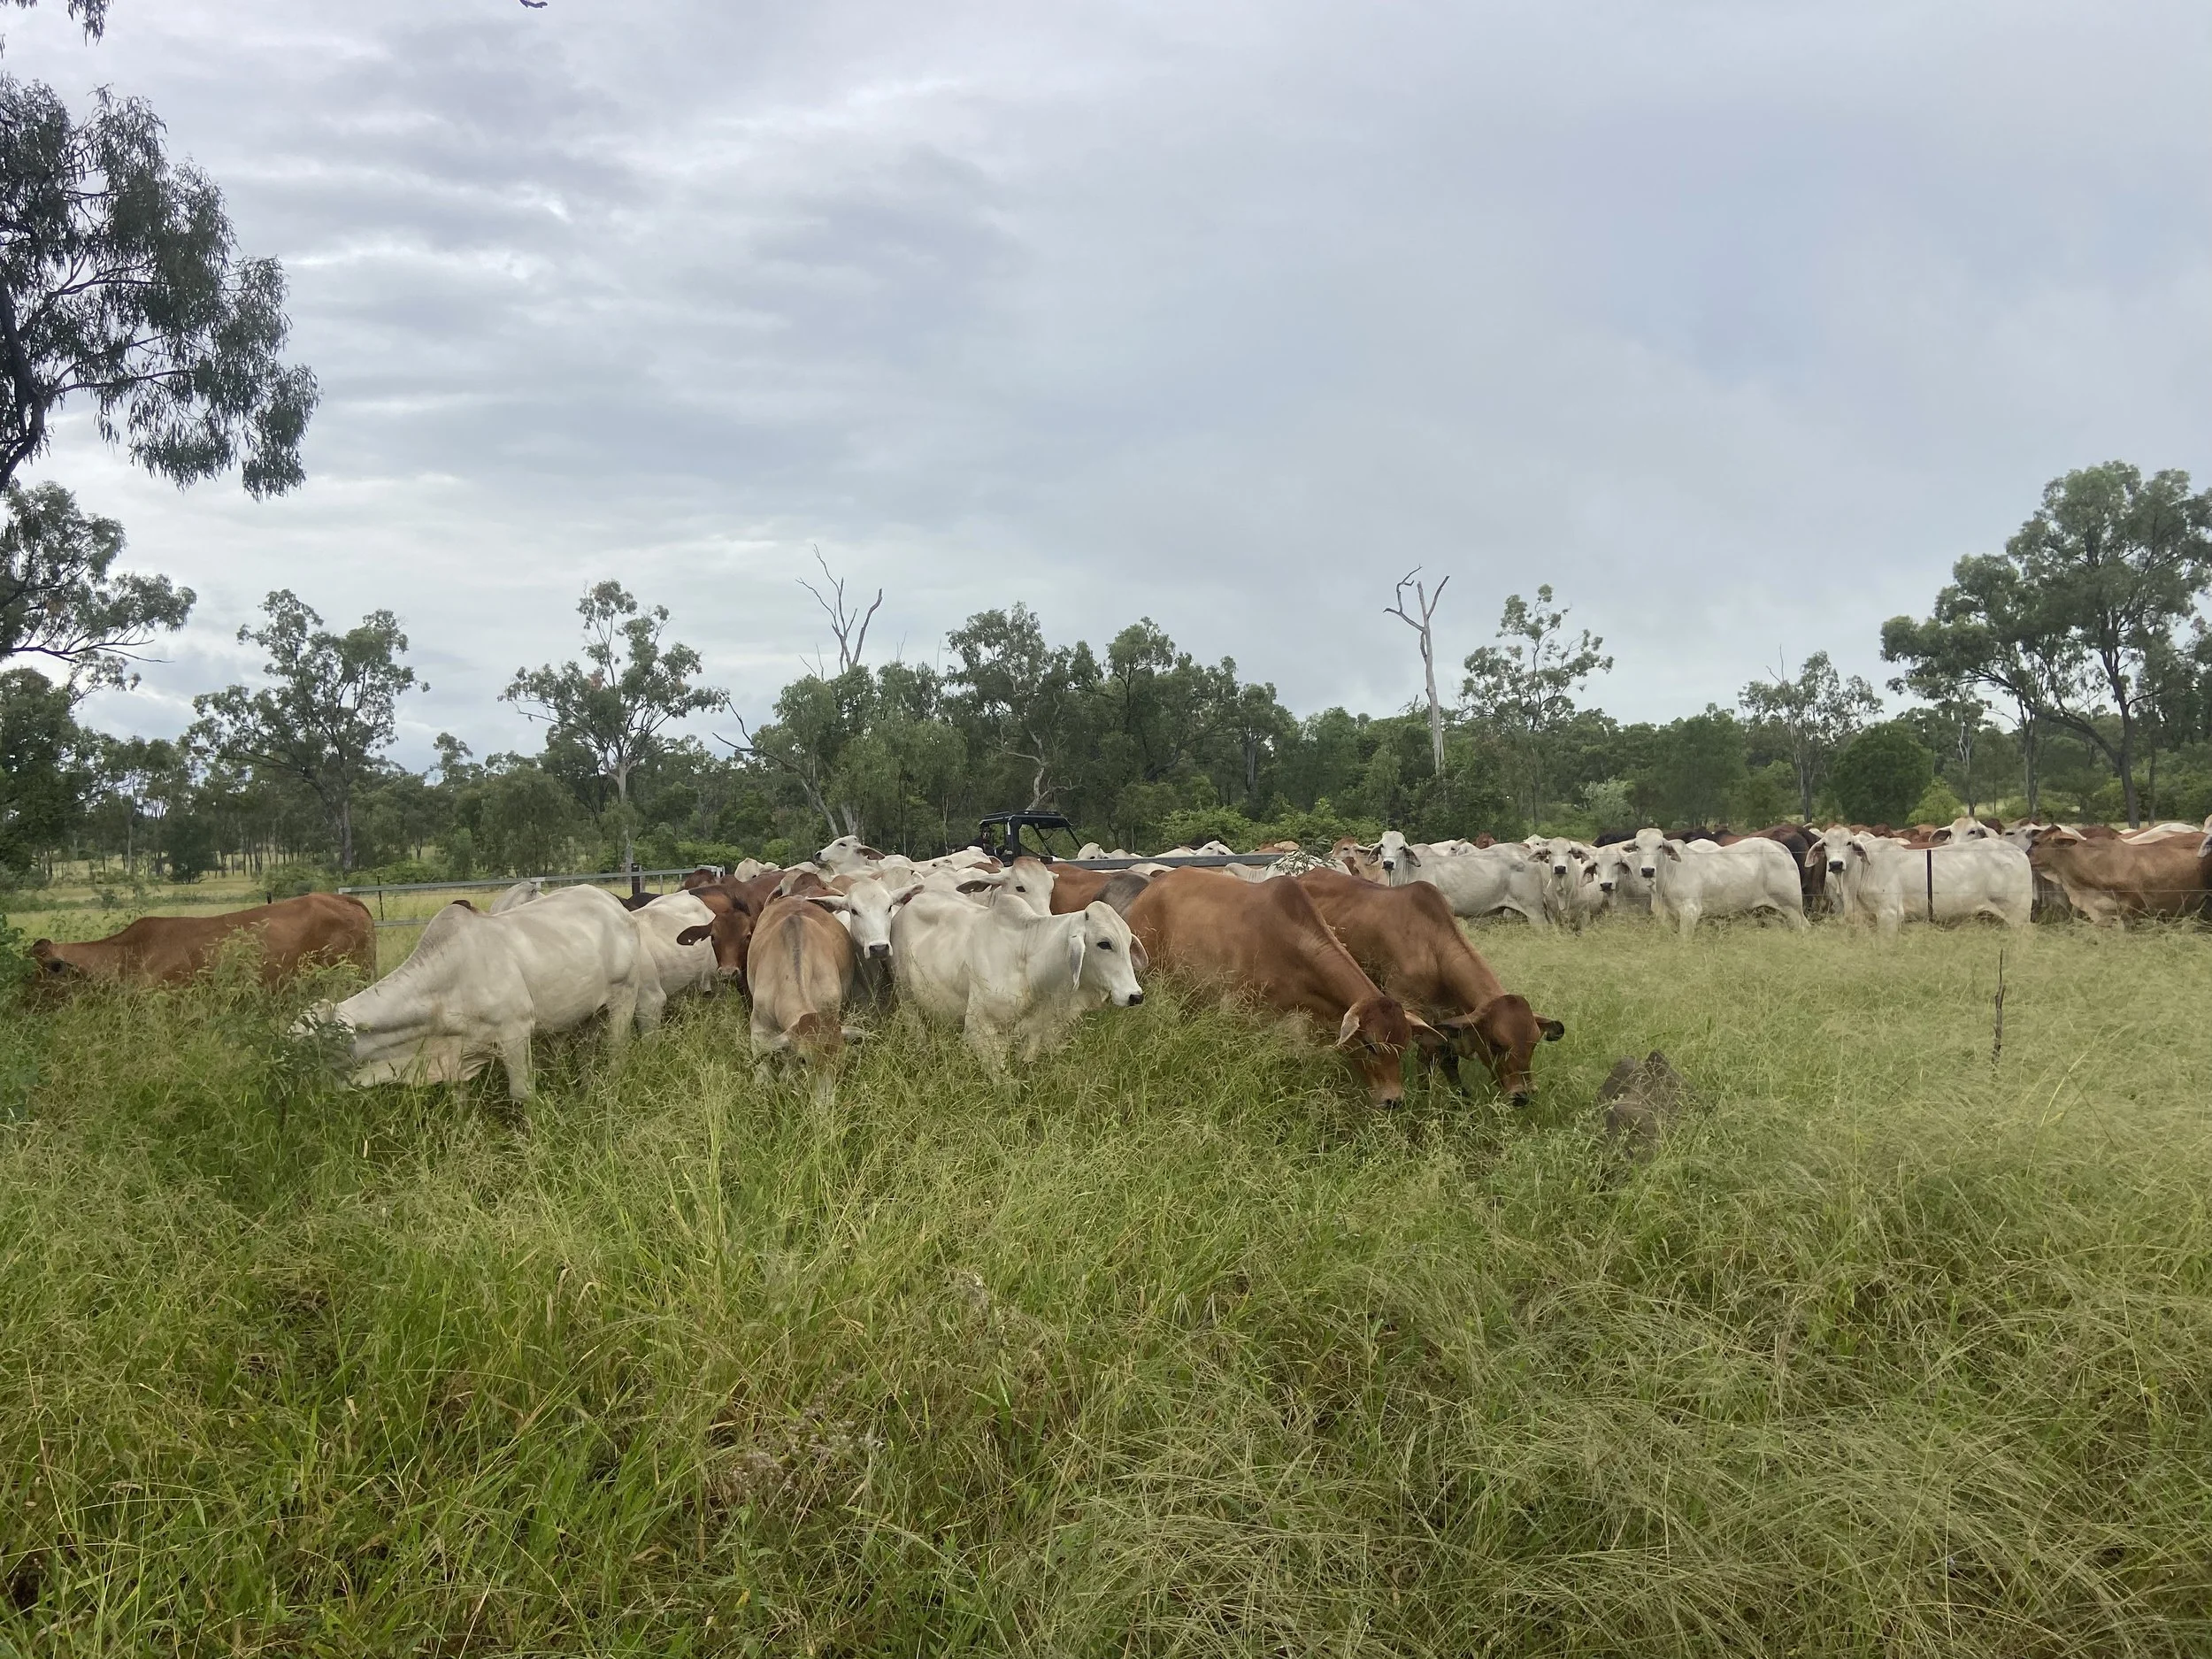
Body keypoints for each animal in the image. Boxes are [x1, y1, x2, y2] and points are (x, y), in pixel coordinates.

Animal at [306, 885, 649, 1100]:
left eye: (314, 1043)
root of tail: (615, 906)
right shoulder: (454, 1054)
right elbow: (459, 1099)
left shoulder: (515, 1033)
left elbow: (523, 1095)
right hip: (585, 1014)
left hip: (624, 996)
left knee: (616, 1051)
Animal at [1297, 869, 1564, 1103]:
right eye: (1496, 1043)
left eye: (1534, 1043)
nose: (1522, 1095)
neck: (1433, 948)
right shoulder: (1411, 1009)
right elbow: (1427, 1058)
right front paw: (1425, 1096)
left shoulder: (1448, 1016)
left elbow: (1449, 1058)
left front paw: (1461, 1097)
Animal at [1808, 828, 2033, 934]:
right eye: (1825, 844)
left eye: (1849, 843)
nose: (1836, 864)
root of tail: (2020, 853)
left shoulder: (1890, 914)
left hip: (2019, 916)